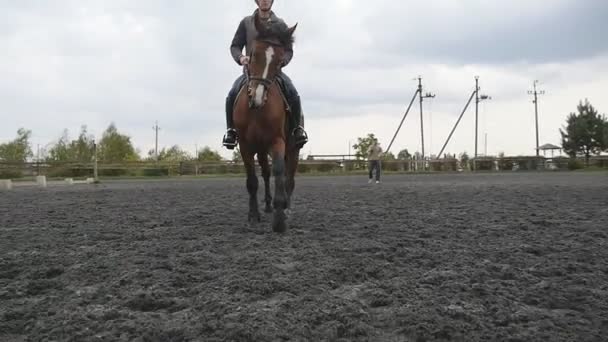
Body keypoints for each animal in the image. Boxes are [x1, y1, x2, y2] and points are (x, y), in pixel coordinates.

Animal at [232, 15, 300, 232]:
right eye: (253, 54)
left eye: (279, 61)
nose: (257, 96)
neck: (257, 111)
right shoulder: (245, 146)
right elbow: (252, 180)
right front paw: (254, 215)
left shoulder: (278, 142)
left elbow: (280, 173)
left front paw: (279, 218)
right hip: (260, 150)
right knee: (266, 174)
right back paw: (268, 206)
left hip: (293, 148)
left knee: (289, 178)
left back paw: (286, 208)